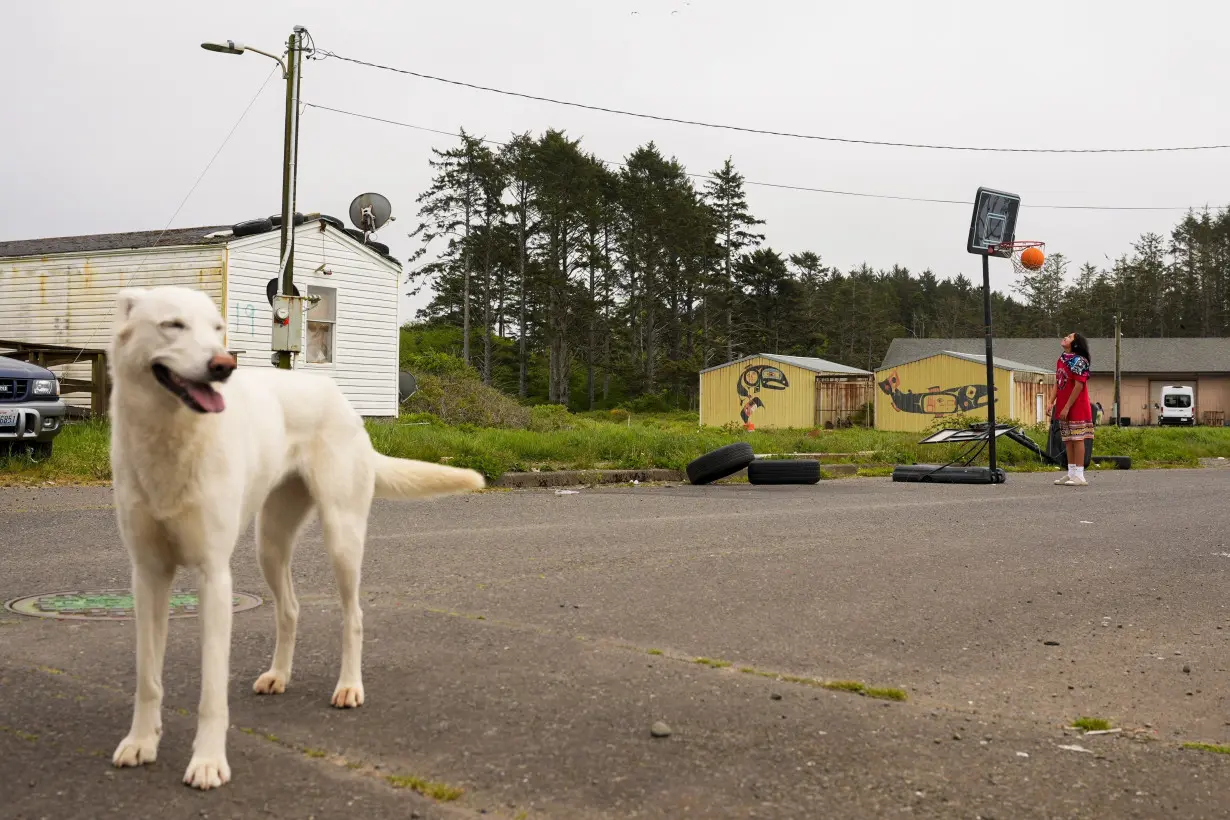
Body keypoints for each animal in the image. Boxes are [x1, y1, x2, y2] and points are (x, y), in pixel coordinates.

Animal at [108, 287, 484, 786]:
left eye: (216, 328)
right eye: (172, 325)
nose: (223, 366)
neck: (172, 437)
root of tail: (339, 398)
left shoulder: (214, 576)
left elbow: (211, 690)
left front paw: (207, 761)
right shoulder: (148, 575)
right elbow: (147, 677)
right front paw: (140, 742)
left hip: (342, 537)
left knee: (353, 615)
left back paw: (349, 686)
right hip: (269, 544)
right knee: (289, 609)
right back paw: (278, 675)